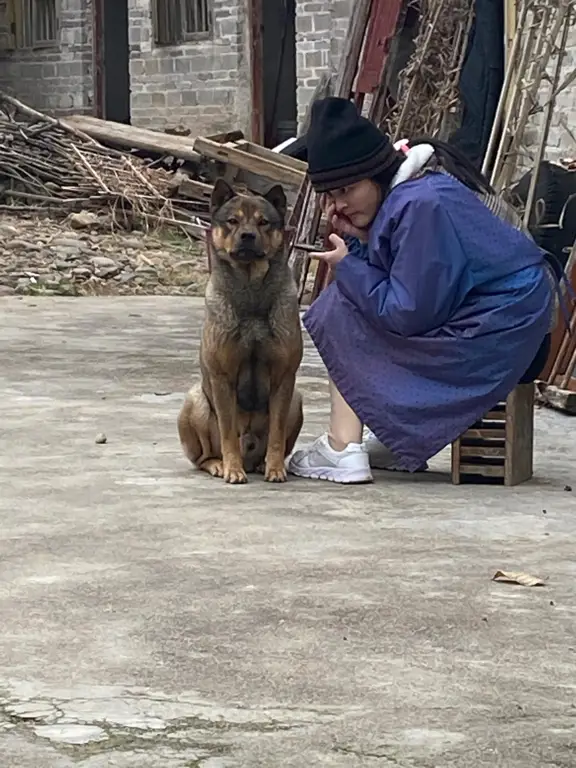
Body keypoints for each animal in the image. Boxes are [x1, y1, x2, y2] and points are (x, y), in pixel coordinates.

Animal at [179, 177, 306, 484]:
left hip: (296, 400)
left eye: (264, 222)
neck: (251, 290)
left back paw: (261, 464)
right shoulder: (223, 378)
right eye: (232, 221)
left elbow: (276, 433)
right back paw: (219, 464)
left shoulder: (284, 378)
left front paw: (275, 468)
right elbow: (227, 432)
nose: (247, 236)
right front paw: (232, 469)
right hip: (195, 401)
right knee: (202, 457)